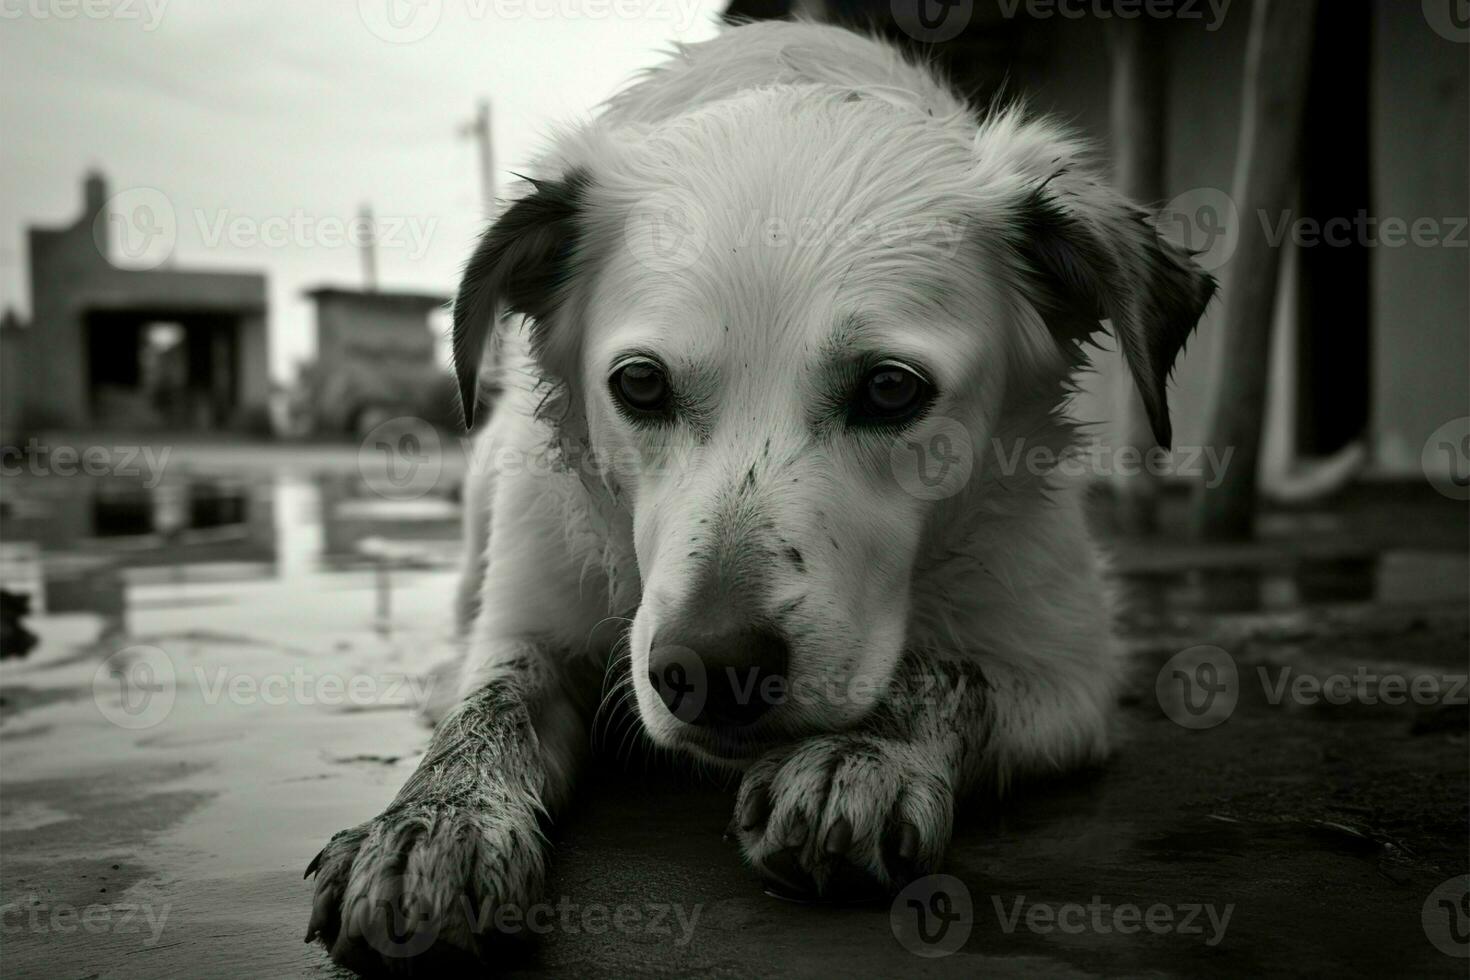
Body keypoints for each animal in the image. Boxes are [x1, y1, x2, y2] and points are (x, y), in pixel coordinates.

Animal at [304, 19, 1211, 969]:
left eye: (892, 389)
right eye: (639, 383)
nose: (711, 668)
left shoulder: (1070, 674)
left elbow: (946, 672)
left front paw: (862, 756)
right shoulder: (530, 616)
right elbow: (491, 703)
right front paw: (431, 825)